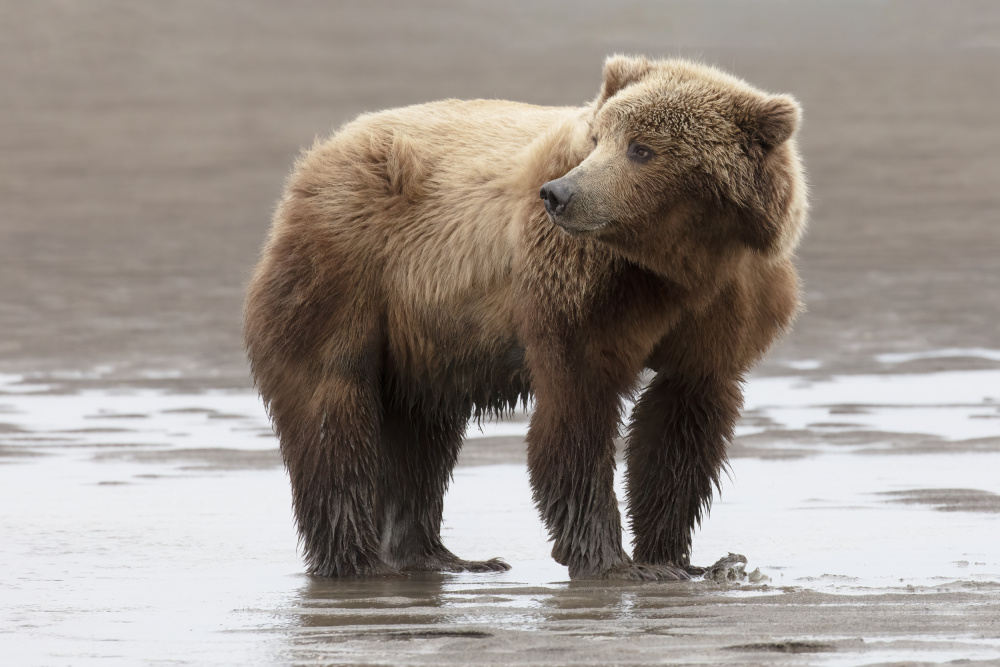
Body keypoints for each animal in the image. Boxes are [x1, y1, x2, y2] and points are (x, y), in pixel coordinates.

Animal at [246, 56, 808, 580]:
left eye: (642, 148)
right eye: (598, 138)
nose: (560, 194)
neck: (676, 264)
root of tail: (323, 151)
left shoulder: (728, 304)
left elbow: (681, 427)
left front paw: (677, 557)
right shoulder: (581, 290)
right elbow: (577, 413)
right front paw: (611, 559)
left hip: (425, 338)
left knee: (422, 433)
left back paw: (439, 556)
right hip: (345, 269)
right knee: (331, 406)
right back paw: (358, 560)